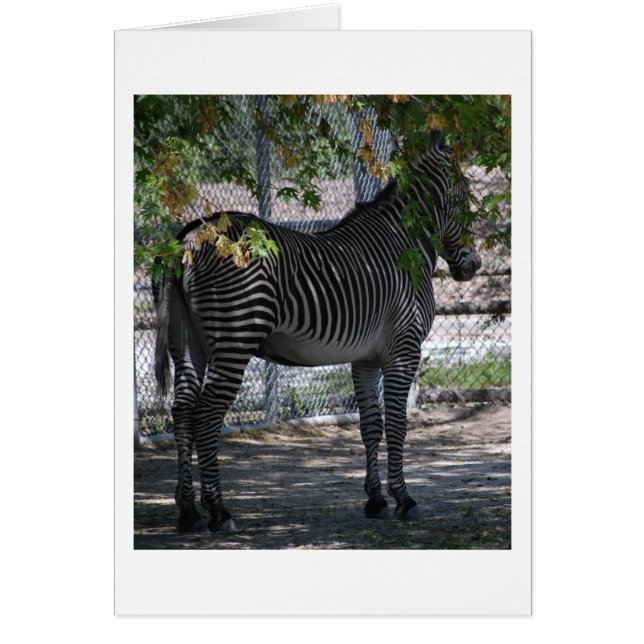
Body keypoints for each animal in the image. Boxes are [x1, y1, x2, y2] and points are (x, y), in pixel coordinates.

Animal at [153, 130, 482, 533]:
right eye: (466, 199)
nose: (473, 266)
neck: (403, 244)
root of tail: (190, 235)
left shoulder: (365, 358)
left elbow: (370, 424)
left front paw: (375, 500)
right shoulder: (404, 350)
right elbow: (397, 423)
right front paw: (405, 499)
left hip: (187, 343)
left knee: (182, 411)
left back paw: (187, 511)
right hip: (235, 338)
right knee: (207, 414)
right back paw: (219, 512)